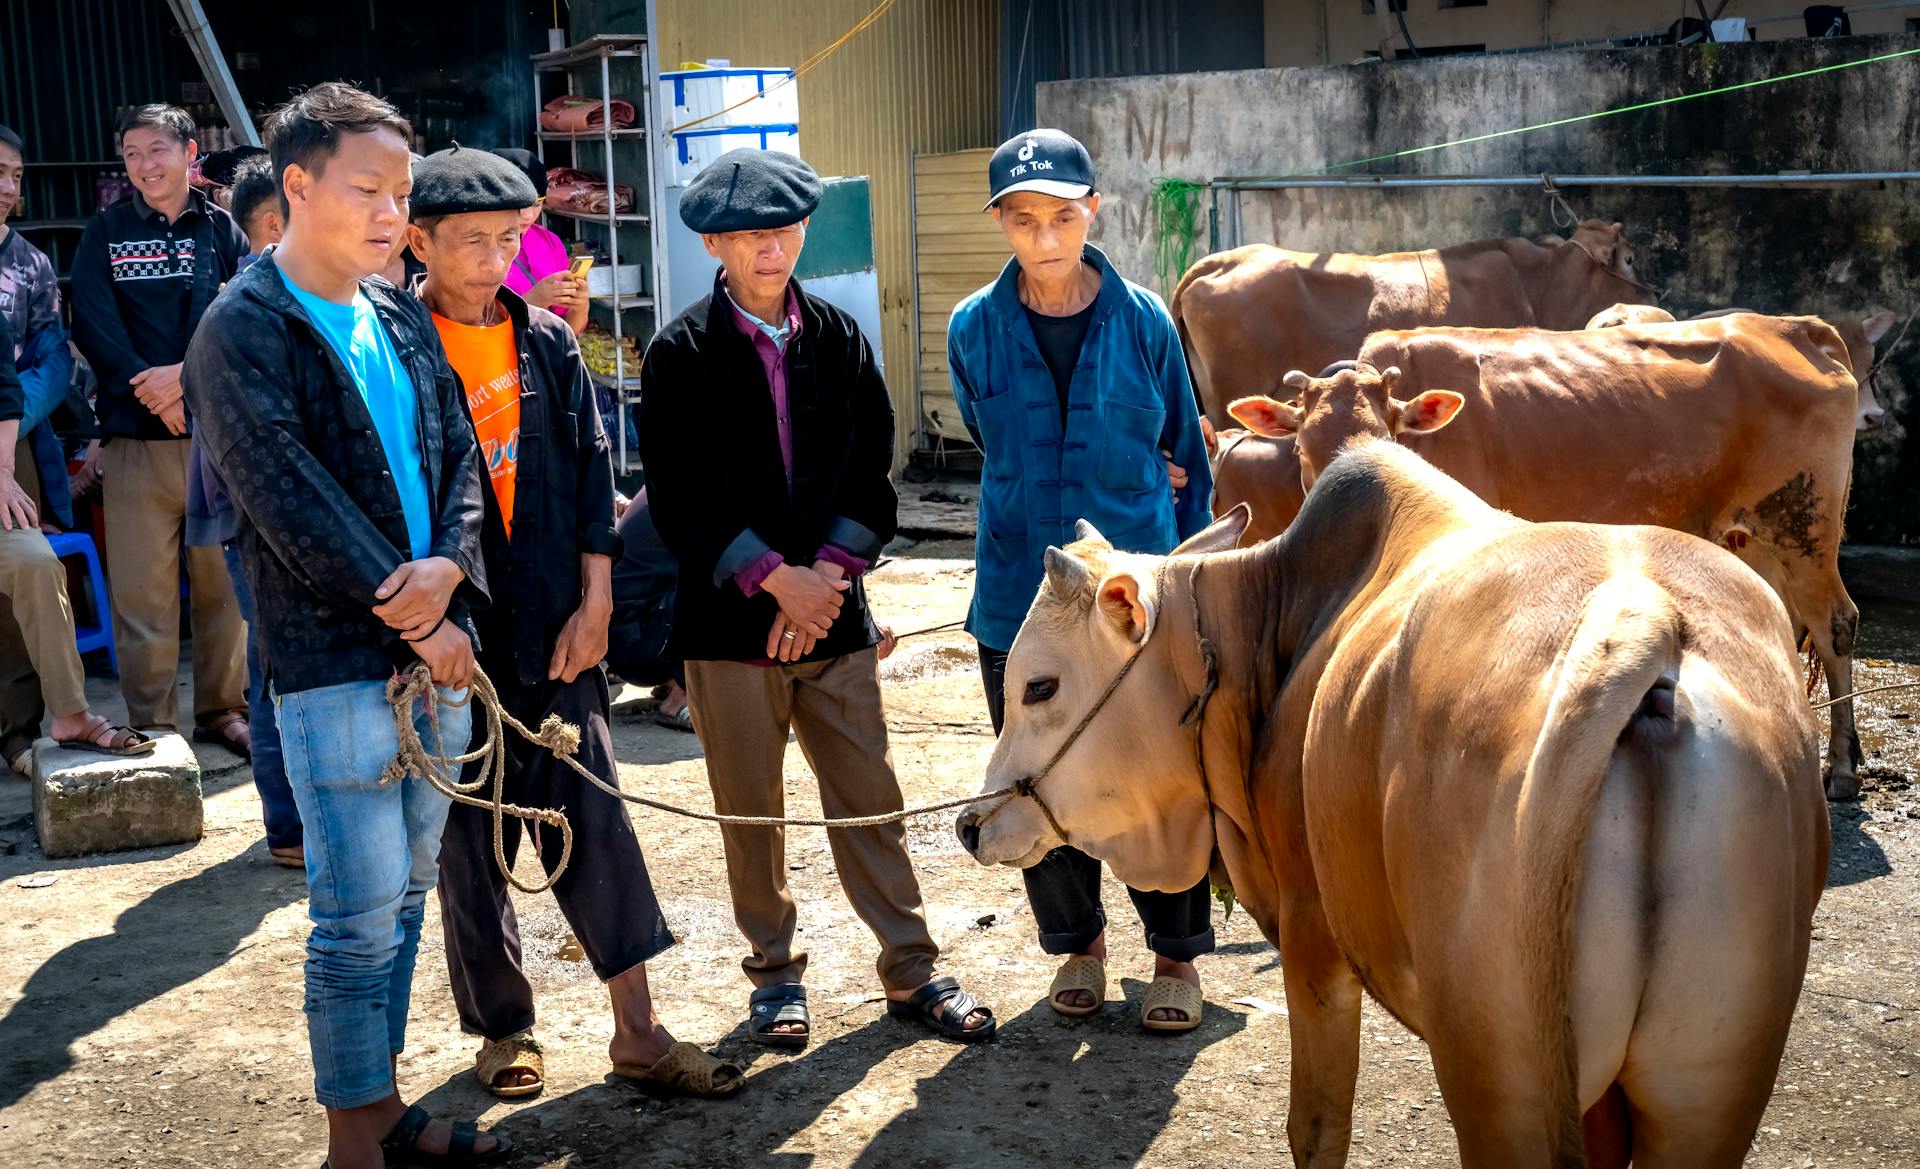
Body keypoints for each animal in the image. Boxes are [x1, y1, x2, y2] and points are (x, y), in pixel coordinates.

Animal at [960, 439, 1827, 1167]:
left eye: (1040, 685)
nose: (972, 822)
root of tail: (1644, 615)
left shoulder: (1312, 938)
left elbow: (1315, 1131)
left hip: (1496, 1067)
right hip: (1707, 1085)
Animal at [1221, 312, 1866, 802]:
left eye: (1386, 434)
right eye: (1302, 449)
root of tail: (1793, 326)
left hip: (1805, 524)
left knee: (1836, 624)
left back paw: (1840, 768)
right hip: (1755, 538)